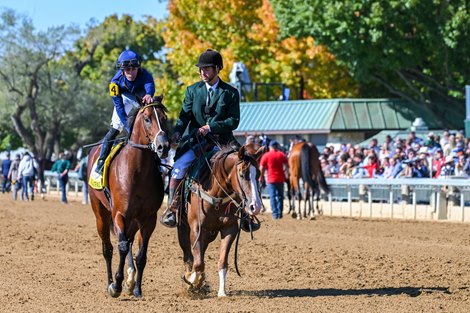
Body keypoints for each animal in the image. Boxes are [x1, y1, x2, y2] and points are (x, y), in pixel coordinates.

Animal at [88, 96, 169, 296]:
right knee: (108, 248)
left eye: (165, 118)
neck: (137, 171)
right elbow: (122, 247)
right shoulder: (119, 214)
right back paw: (110, 282)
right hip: (101, 214)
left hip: (133, 220)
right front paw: (116, 284)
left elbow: (141, 255)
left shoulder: (148, 218)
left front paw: (137, 288)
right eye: (147, 119)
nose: (163, 146)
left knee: (130, 241)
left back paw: (131, 280)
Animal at [177, 143, 262, 296]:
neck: (216, 194)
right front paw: (192, 280)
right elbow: (198, 263)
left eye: (258, 174)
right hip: (184, 230)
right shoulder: (196, 228)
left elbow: (222, 261)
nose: (256, 206)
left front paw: (222, 291)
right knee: (188, 255)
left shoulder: (229, 229)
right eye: (242, 174)